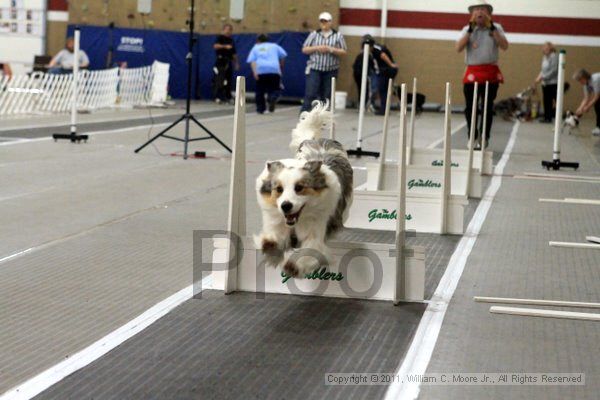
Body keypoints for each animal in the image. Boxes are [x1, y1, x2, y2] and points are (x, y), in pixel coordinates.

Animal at [253, 102, 352, 278]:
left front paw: (294, 265)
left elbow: (311, 248)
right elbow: (274, 238)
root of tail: (319, 140)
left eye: (299, 188)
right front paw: (269, 242)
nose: (286, 206)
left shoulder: (318, 226)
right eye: (279, 189)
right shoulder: (277, 220)